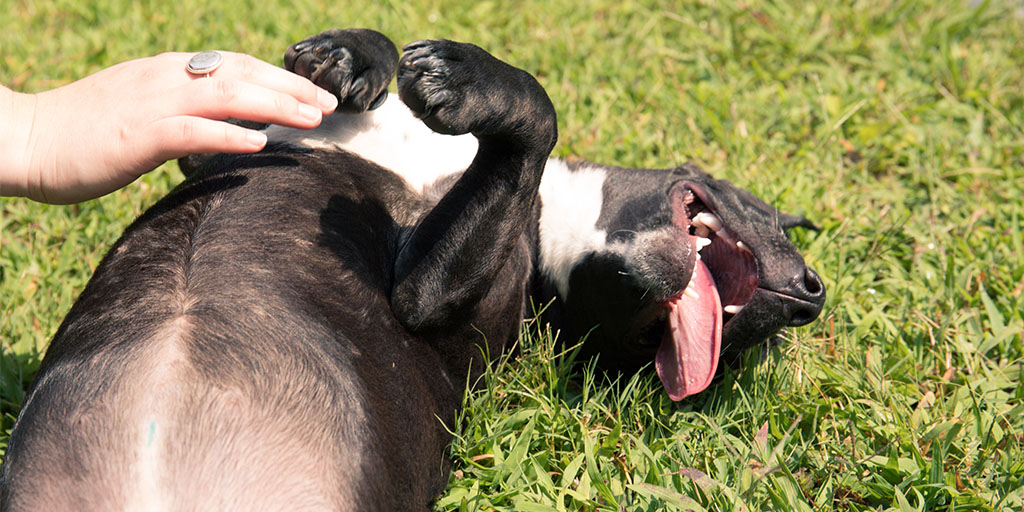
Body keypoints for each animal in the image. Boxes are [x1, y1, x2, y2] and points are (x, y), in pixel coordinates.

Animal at [0, 29, 823, 512]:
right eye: (772, 217)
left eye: (738, 349)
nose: (807, 297)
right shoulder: (216, 146)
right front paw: (347, 57)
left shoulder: (430, 294)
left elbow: (537, 118)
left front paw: (468, 80)